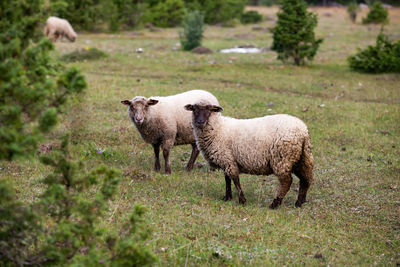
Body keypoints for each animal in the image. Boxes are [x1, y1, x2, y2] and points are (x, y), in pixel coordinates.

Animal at [184, 100, 312, 209]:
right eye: (194, 109)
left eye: (209, 109)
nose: (200, 121)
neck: (218, 128)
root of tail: (302, 131)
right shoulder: (226, 160)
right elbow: (227, 180)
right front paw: (227, 197)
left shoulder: (228, 160)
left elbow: (235, 180)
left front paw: (242, 200)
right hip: (302, 158)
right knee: (305, 179)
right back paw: (299, 203)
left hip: (282, 159)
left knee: (287, 182)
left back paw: (274, 204)